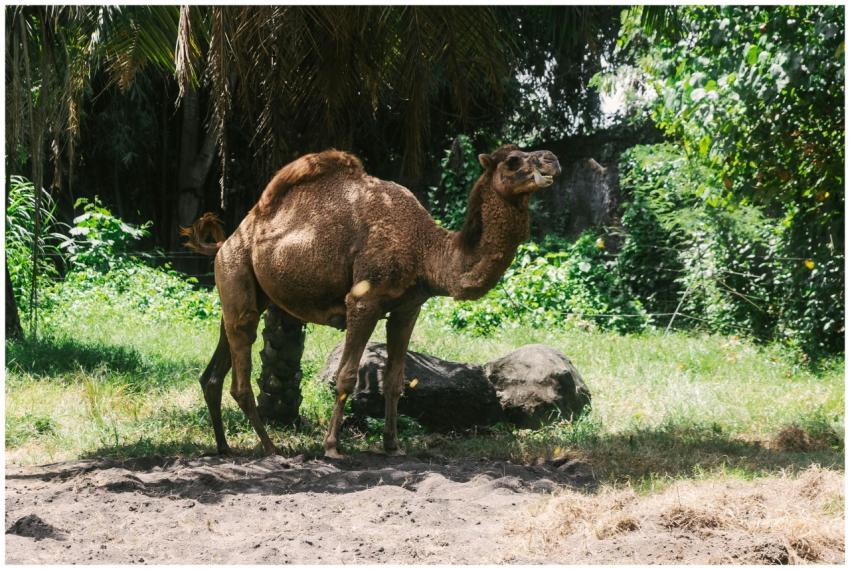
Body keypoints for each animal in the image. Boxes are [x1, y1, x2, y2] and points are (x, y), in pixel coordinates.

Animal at [183, 144, 561, 458]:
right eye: (513, 161)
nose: (552, 159)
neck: (425, 250)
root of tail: (226, 242)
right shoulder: (364, 301)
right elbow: (347, 376)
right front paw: (332, 447)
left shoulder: (408, 308)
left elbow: (395, 381)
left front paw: (392, 446)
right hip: (236, 273)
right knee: (239, 377)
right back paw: (271, 448)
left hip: (240, 294)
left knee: (214, 372)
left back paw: (224, 448)